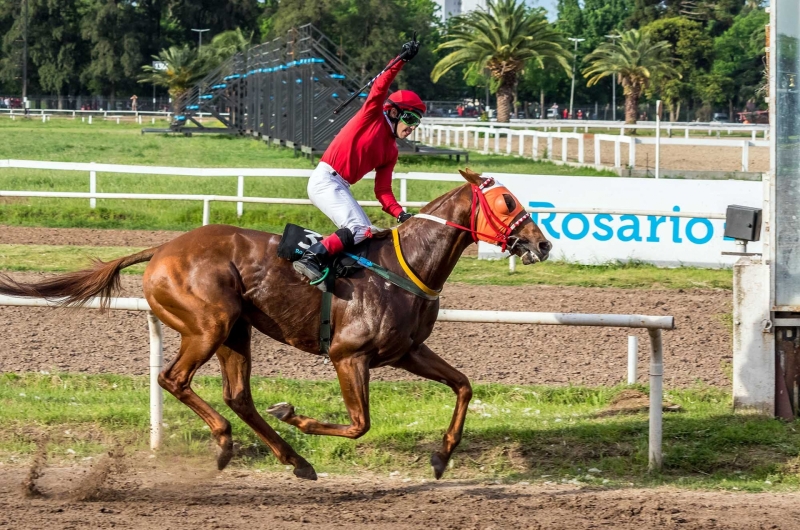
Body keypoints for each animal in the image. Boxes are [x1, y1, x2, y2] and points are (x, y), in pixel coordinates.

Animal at [0, 168, 552, 478]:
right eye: (506, 202)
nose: (543, 243)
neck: (405, 266)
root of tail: (161, 249)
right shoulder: (348, 356)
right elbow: (360, 424)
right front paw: (294, 414)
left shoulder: (406, 351)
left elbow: (463, 385)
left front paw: (442, 456)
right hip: (210, 323)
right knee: (173, 379)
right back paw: (230, 441)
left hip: (236, 331)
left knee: (237, 394)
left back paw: (293, 460)